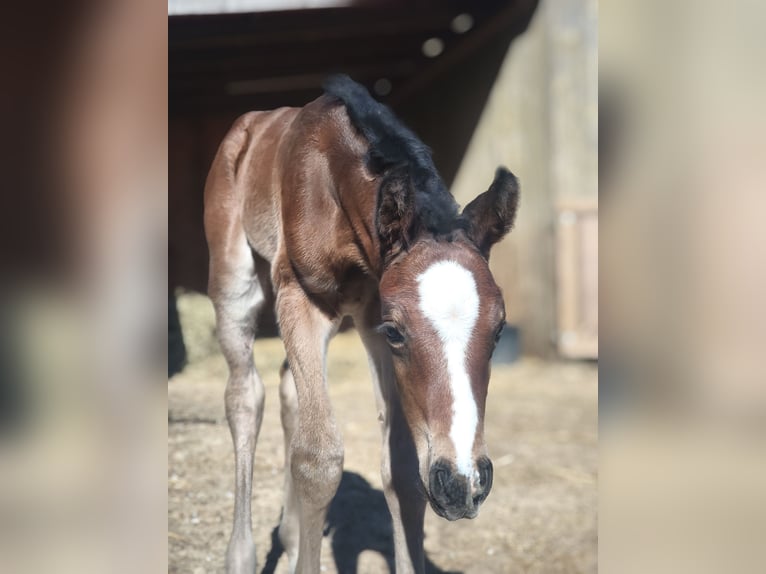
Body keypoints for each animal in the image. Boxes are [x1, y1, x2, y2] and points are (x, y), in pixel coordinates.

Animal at [204, 75, 519, 574]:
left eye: (500, 329)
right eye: (397, 332)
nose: (463, 484)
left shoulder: (371, 311)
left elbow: (402, 466)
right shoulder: (306, 299)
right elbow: (318, 458)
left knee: (288, 389)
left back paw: (290, 537)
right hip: (234, 282)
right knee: (244, 396)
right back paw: (241, 556)